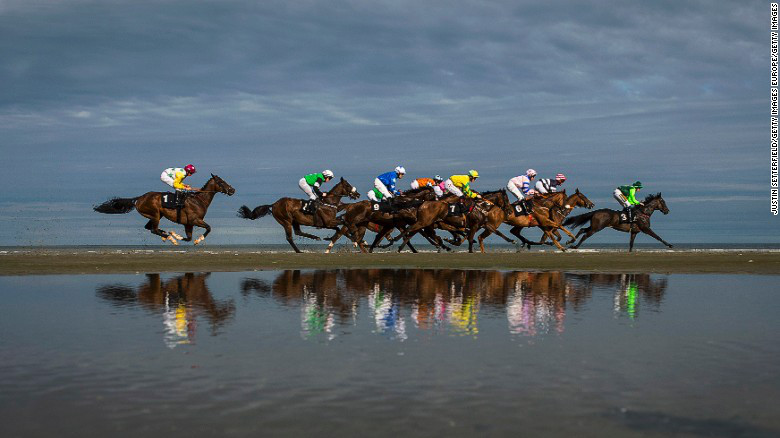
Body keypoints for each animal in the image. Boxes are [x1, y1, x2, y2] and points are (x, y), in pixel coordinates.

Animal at [95, 173, 235, 245]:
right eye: (221, 182)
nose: (232, 190)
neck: (198, 200)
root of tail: (139, 198)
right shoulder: (194, 220)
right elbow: (209, 228)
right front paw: (197, 239)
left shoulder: (188, 223)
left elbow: (188, 238)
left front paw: (175, 235)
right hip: (155, 214)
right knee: (153, 229)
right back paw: (168, 237)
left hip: (155, 215)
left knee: (150, 228)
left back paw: (167, 235)